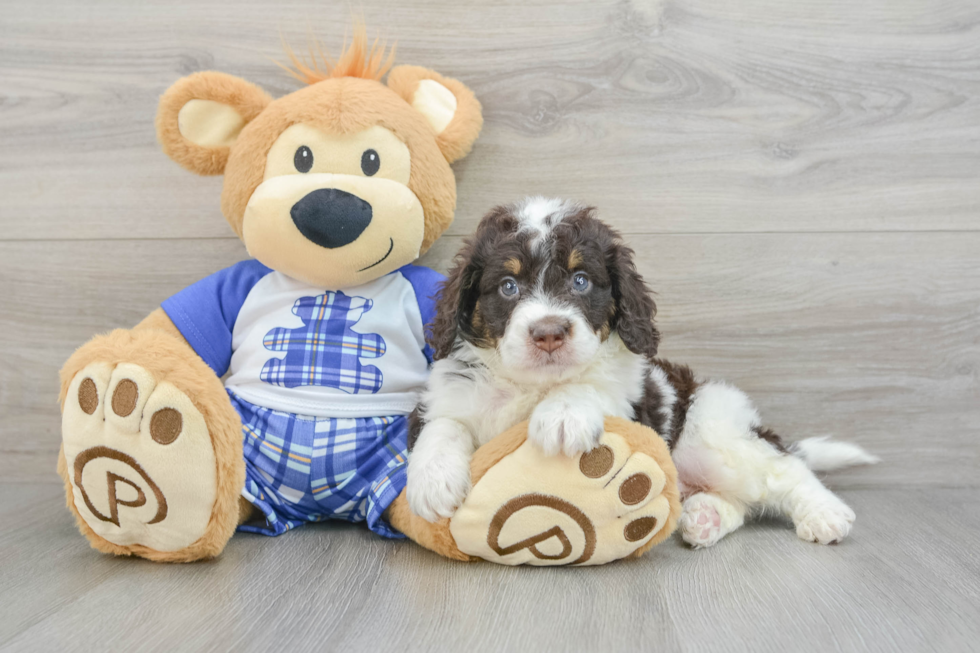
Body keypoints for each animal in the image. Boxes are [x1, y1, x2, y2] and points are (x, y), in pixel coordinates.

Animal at [402, 197, 876, 544]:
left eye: (580, 281)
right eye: (507, 286)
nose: (549, 333)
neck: (534, 385)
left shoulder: (633, 407)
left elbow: (592, 384)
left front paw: (563, 414)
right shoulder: (446, 396)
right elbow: (443, 425)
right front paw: (433, 481)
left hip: (715, 436)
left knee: (783, 470)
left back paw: (825, 513)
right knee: (739, 501)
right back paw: (705, 518)